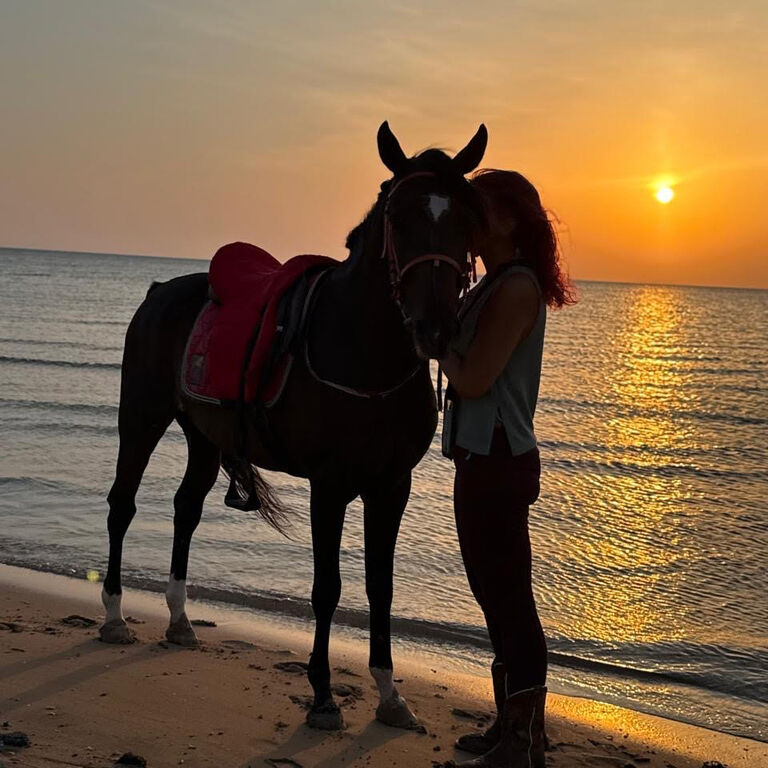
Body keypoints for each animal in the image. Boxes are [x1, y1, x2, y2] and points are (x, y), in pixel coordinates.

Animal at [100, 121, 487, 730]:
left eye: (468, 217)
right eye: (398, 217)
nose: (435, 328)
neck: (360, 349)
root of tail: (159, 290)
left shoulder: (391, 486)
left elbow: (381, 588)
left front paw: (389, 694)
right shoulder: (329, 486)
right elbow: (327, 588)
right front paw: (324, 695)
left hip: (203, 436)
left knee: (186, 509)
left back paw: (180, 619)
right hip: (141, 418)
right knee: (123, 504)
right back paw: (114, 615)